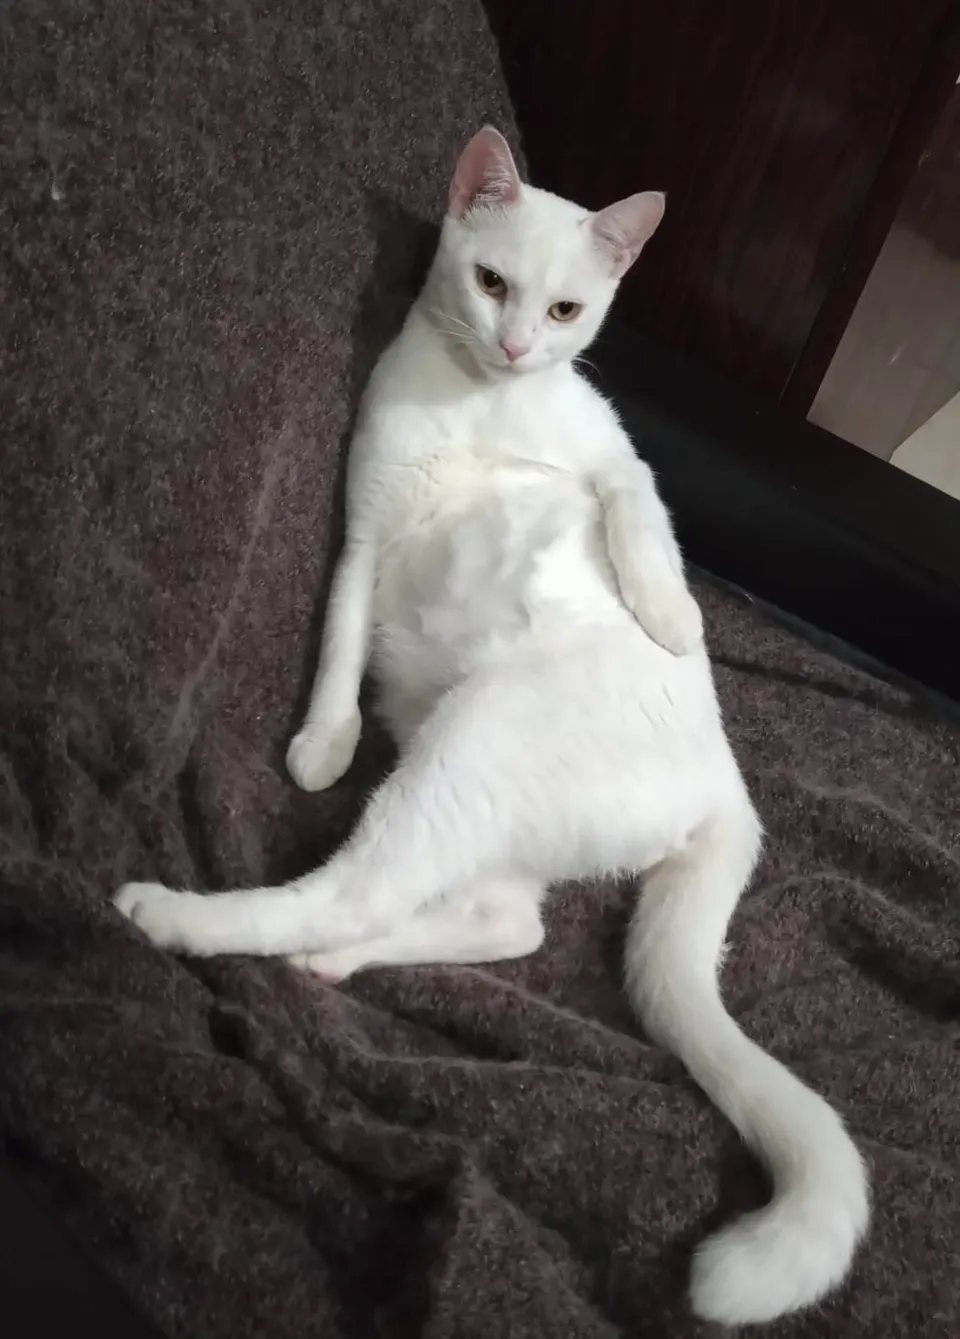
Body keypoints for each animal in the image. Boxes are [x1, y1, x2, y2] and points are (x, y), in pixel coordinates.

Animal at [114, 127, 869, 1325]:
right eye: (491, 282)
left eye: (565, 311)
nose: (517, 346)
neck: (484, 402)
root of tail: (729, 787)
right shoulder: (364, 530)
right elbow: (339, 644)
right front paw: (325, 741)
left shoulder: (618, 460)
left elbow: (641, 523)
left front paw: (672, 617)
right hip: (477, 777)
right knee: (495, 921)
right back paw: (331, 959)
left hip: (477, 737)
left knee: (373, 891)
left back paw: (180, 917)